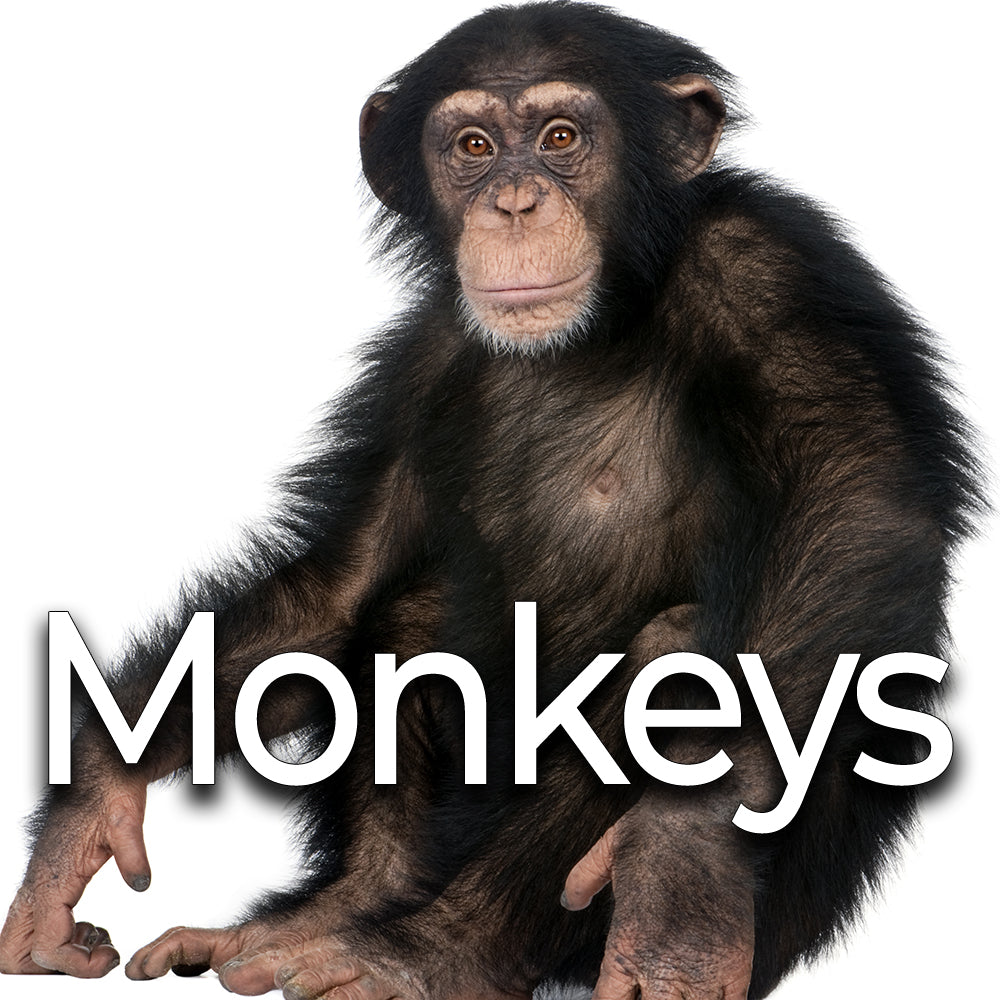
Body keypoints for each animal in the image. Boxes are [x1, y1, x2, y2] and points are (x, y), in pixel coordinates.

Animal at [0, 3, 983, 999]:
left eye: (561, 138)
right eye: (472, 145)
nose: (513, 201)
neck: (605, 315)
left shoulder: (768, 276)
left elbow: (855, 505)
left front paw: (681, 872)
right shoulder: (423, 358)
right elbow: (342, 582)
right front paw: (88, 806)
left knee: (672, 647)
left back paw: (428, 953)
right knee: (402, 621)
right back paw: (334, 913)